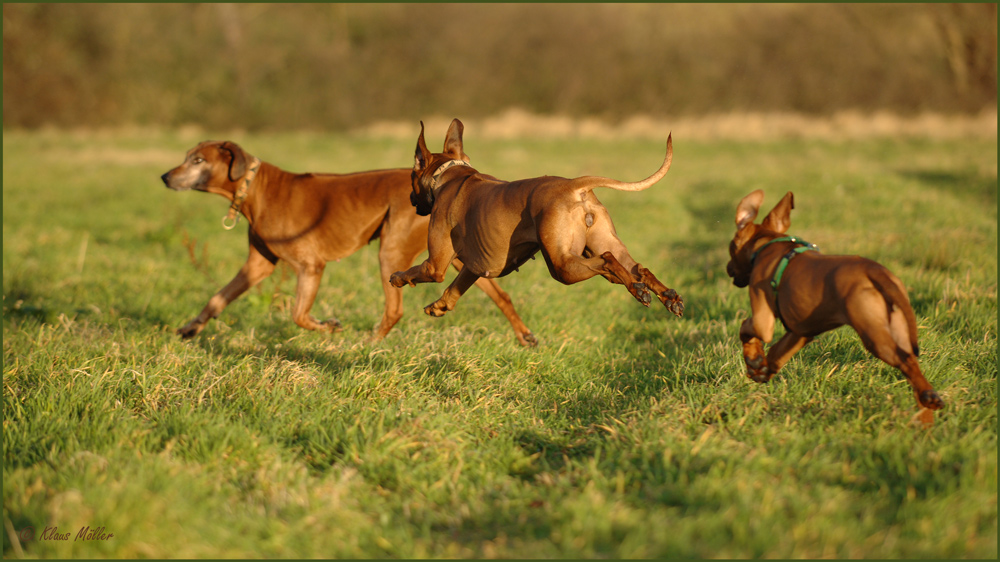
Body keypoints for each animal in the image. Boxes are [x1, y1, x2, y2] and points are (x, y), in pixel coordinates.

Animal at [160, 140, 536, 344]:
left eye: (198, 160)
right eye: (187, 156)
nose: (164, 176)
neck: (256, 188)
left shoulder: (311, 265)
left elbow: (298, 314)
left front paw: (328, 327)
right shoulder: (257, 264)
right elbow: (217, 298)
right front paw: (191, 328)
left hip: (392, 250)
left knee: (394, 309)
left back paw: (368, 344)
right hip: (453, 254)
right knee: (499, 294)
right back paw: (524, 335)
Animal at [386, 118, 684, 320]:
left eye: (412, 175)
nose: (412, 200)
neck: (448, 176)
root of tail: (574, 185)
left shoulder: (434, 265)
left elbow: (417, 272)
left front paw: (398, 278)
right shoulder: (474, 266)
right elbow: (453, 290)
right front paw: (439, 306)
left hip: (562, 266)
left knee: (608, 261)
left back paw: (639, 290)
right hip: (598, 243)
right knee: (637, 268)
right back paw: (667, 296)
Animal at [728, 188, 944, 420]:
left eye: (731, 246)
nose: (728, 268)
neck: (768, 245)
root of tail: (874, 270)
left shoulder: (763, 321)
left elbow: (746, 328)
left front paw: (754, 359)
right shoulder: (800, 331)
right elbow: (777, 353)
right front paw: (760, 369)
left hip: (874, 336)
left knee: (906, 362)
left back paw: (929, 397)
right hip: (898, 327)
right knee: (912, 369)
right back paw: (925, 412)